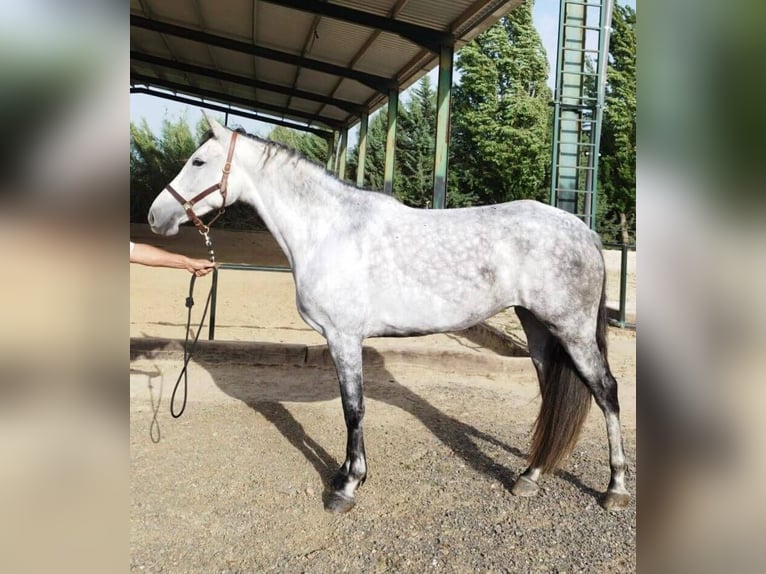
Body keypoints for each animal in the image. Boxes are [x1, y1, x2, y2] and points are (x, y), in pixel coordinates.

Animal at [147, 112, 630, 513]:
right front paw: (346, 475)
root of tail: (585, 231)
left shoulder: (344, 337)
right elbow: (350, 408)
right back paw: (530, 475)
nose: (155, 215)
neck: (329, 229)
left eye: (198, 162)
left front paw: (347, 486)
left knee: (606, 390)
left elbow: (353, 408)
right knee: (554, 392)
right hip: (538, 328)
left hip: (572, 328)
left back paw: (615, 489)